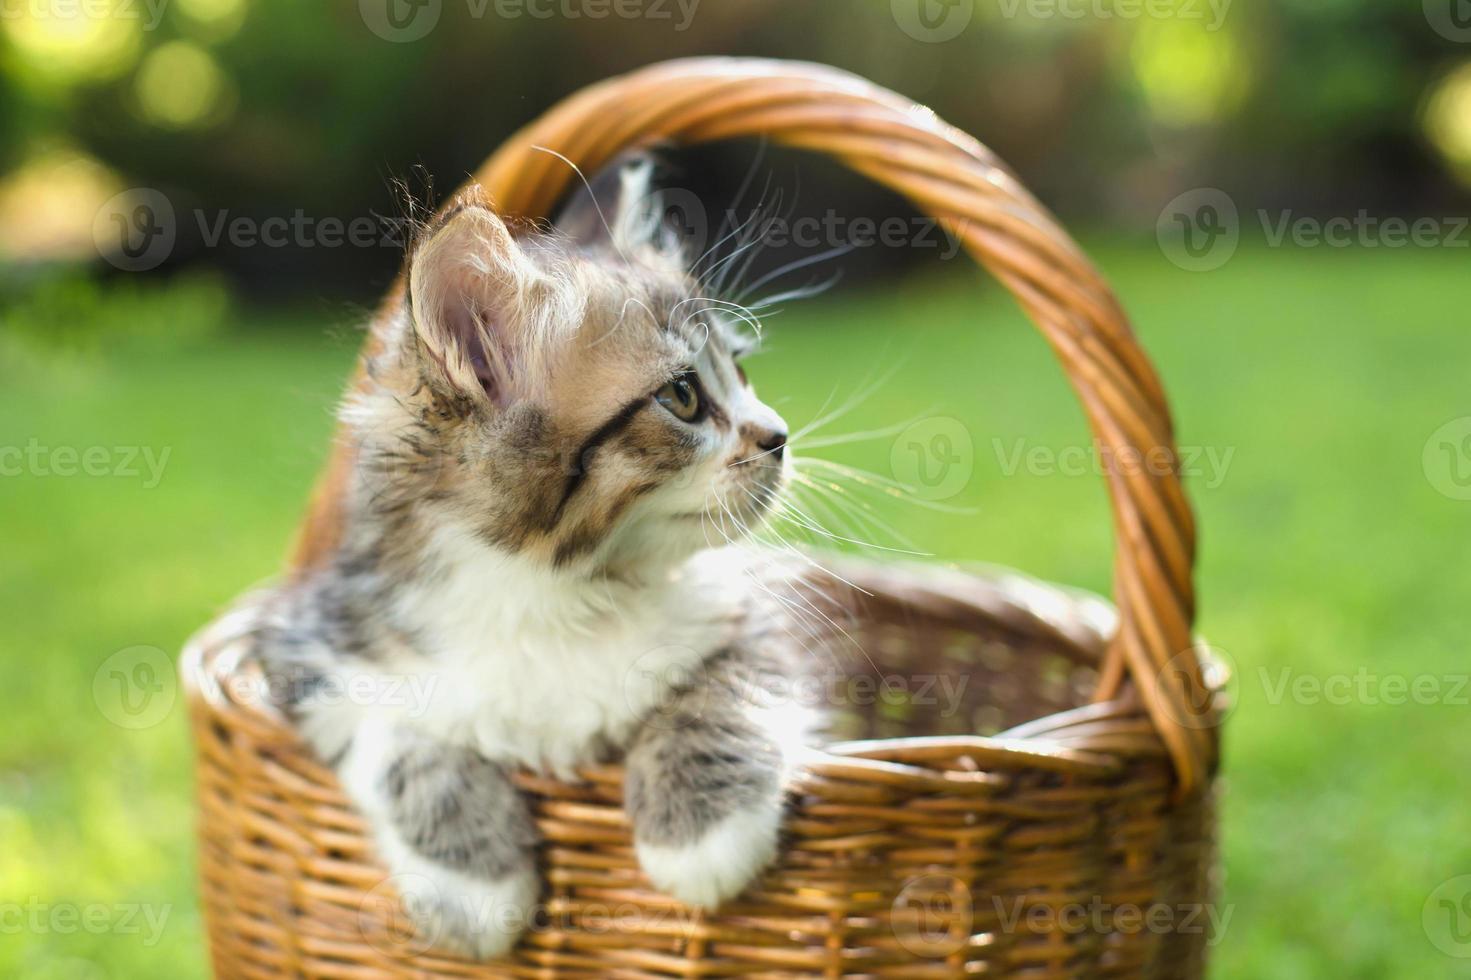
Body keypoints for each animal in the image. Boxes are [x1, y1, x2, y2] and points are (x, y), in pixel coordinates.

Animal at [235, 158, 823, 953]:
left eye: (740, 370)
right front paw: (474, 887)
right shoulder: (304, 645)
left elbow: (724, 691)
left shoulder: (754, 615)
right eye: (683, 396)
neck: (553, 590)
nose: (780, 434)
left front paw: (702, 837)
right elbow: (400, 745)